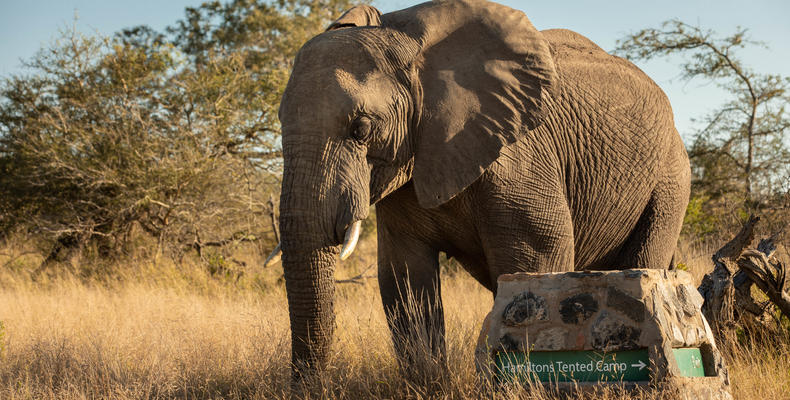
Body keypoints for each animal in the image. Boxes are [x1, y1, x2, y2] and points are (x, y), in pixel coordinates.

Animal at [270, 0, 688, 378]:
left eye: (361, 128)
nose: (309, 386)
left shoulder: (519, 158)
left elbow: (535, 265)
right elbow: (404, 279)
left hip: (670, 179)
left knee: (643, 261)